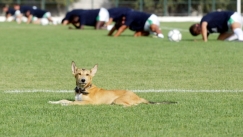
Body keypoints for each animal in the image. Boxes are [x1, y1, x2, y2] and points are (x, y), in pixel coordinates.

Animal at [48, 61, 176, 106]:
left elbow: (73, 103)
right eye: (79, 74)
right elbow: (64, 100)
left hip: (118, 100)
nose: (83, 80)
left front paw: (65, 105)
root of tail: (138, 96)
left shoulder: (89, 103)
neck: (83, 89)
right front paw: (53, 102)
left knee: (132, 105)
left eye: (88, 75)